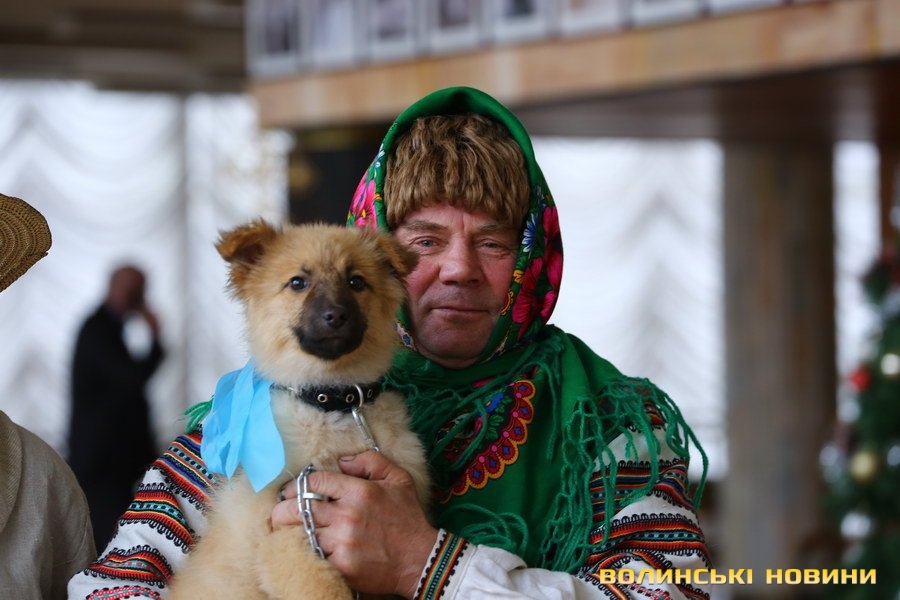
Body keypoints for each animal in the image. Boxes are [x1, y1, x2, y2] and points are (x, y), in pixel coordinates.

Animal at [167, 220, 430, 600]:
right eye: (297, 283)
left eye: (356, 282)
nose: (336, 316)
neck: (333, 405)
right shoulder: (289, 533)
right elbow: (325, 590)